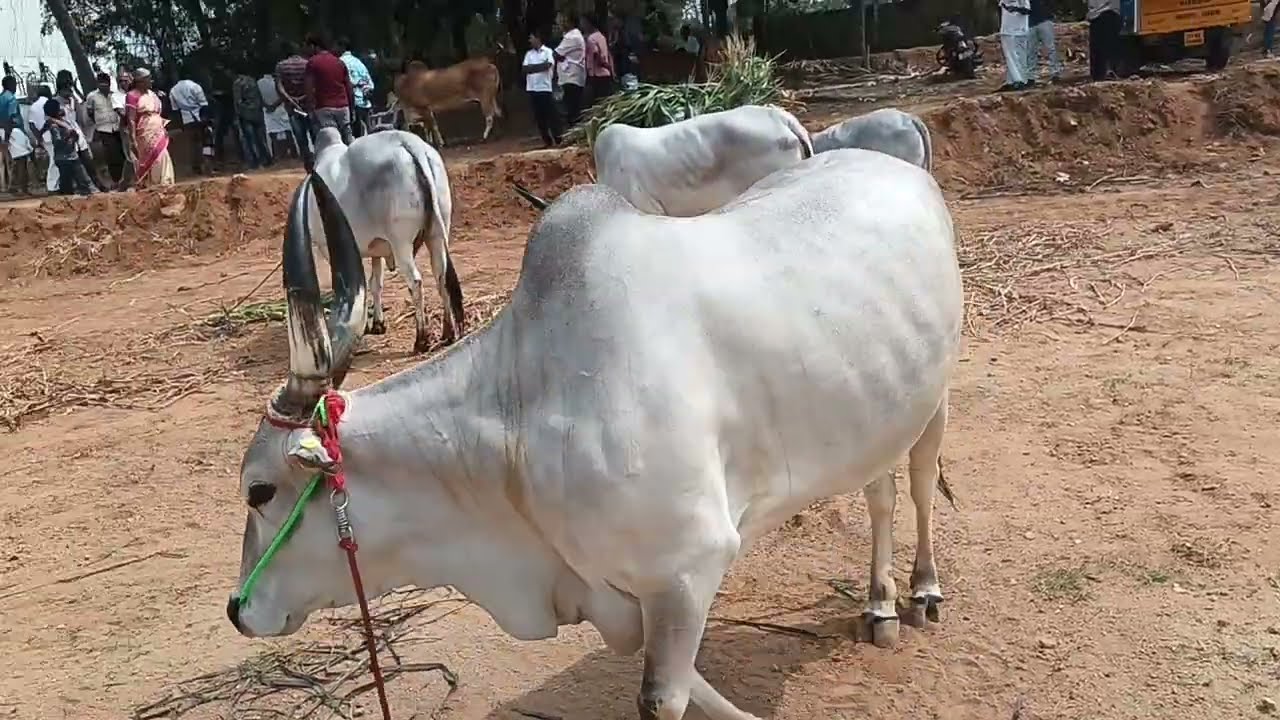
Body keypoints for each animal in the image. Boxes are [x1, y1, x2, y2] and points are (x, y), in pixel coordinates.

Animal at [309, 127, 464, 353]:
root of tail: (409, 142)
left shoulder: (331, 249)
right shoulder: (377, 248)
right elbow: (376, 283)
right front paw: (378, 324)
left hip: (401, 243)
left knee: (416, 282)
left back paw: (421, 340)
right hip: (436, 234)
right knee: (440, 276)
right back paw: (448, 333)